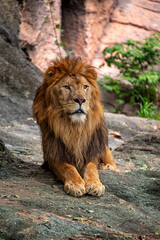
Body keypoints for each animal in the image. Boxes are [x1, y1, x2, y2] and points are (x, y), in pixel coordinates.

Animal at [32, 56, 118, 197]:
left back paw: (108, 167)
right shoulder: (53, 155)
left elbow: (92, 168)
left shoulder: (90, 152)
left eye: (85, 87)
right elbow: (68, 168)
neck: (75, 128)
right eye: (67, 87)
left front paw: (95, 184)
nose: (80, 100)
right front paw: (75, 184)